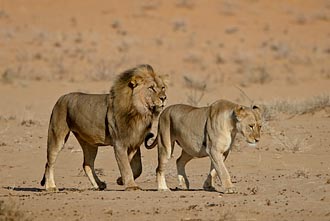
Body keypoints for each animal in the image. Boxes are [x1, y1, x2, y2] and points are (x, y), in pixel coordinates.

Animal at [40, 64, 168, 192]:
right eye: (151, 88)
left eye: (162, 87)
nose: (164, 98)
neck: (139, 113)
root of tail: (61, 98)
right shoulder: (119, 143)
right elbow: (126, 166)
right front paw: (131, 186)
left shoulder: (135, 143)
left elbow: (137, 168)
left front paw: (120, 180)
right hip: (57, 136)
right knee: (49, 163)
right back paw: (50, 187)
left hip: (89, 143)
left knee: (87, 164)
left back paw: (99, 184)